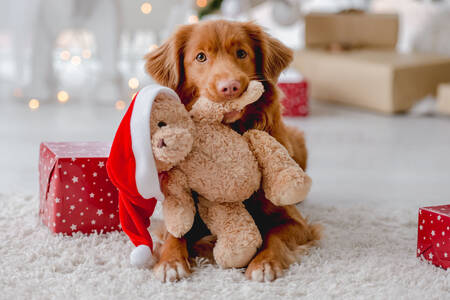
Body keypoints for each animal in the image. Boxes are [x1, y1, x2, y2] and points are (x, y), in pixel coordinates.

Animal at [144, 19, 320, 282]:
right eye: (201, 57)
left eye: (241, 53)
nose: (230, 87)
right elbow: (175, 233)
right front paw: (170, 262)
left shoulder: (295, 221)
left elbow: (275, 237)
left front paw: (264, 263)